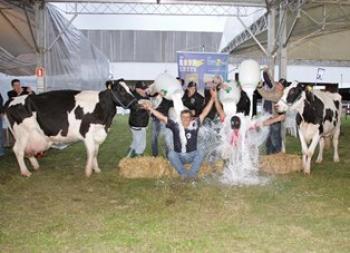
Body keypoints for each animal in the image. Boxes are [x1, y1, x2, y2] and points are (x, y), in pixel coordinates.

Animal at [5, 80, 137, 177]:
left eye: (130, 88)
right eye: (120, 90)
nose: (135, 102)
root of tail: (12, 100)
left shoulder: (97, 133)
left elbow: (95, 152)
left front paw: (97, 169)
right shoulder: (87, 133)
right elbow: (91, 152)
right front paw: (88, 171)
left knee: (27, 151)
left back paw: (35, 166)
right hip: (22, 134)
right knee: (18, 150)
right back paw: (25, 172)